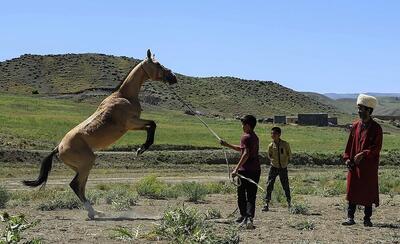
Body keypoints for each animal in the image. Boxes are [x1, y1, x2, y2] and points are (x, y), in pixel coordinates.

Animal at [22, 49, 177, 219]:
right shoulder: (131, 123)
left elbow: (151, 126)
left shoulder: (133, 125)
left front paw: (140, 149)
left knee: (80, 187)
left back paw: (97, 212)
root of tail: (58, 148)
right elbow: (153, 125)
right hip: (87, 163)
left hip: (81, 167)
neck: (124, 96)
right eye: (158, 64)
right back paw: (92, 213)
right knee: (75, 185)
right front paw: (141, 149)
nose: (173, 77)